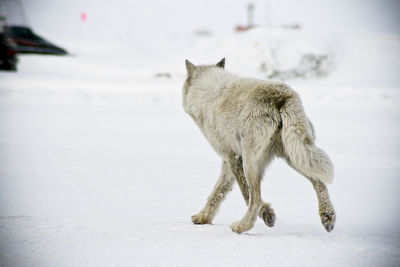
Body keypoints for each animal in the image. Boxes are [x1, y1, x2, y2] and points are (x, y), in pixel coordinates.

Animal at [183, 58, 336, 234]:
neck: (208, 93)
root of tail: (280, 97)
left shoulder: (233, 157)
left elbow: (243, 192)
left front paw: (267, 214)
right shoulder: (229, 161)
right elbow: (217, 192)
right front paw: (203, 218)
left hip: (253, 162)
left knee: (255, 198)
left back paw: (241, 226)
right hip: (296, 156)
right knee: (319, 182)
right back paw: (327, 217)